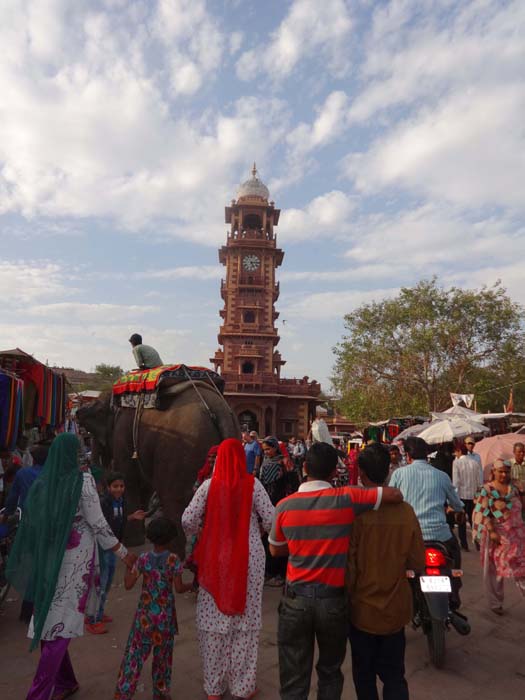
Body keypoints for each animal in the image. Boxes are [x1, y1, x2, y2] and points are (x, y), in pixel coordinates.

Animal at [76, 380, 239, 556]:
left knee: (173, 501)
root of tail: (219, 409)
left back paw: (172, 554)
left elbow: (128, 479)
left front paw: (131, 542)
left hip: (179, 453)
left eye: (98, 414)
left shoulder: (122, 434)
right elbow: (145, 486)